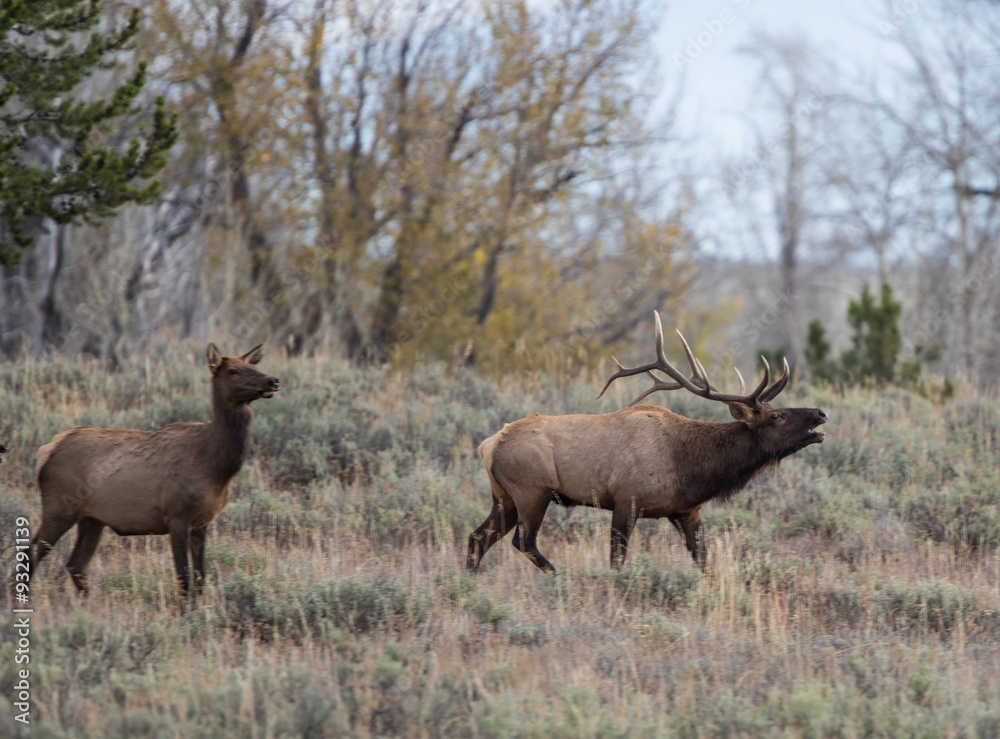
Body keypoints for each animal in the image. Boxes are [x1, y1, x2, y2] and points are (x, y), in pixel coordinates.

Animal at [30, 344, 279, 596]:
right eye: (232, 370)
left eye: (252, 364)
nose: (273, 381)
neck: (216, 469)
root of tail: (45, 452)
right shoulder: (176, 515)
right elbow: (183, 577)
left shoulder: (203, 521)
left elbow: (201, 577)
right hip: (59, 507)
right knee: (31, 553)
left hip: (92, 519)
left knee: (75, 565)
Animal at [466, 311, 827, 574]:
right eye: (776, 416)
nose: (821, 414)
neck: (691, 469)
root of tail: (488, 446)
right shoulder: (626, 499)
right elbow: (617, 560)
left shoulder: (688, 511)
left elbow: (704, 563)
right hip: (532, 491)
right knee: (523, 542)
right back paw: (559, 576)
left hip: (504, 498)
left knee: (477, 537)